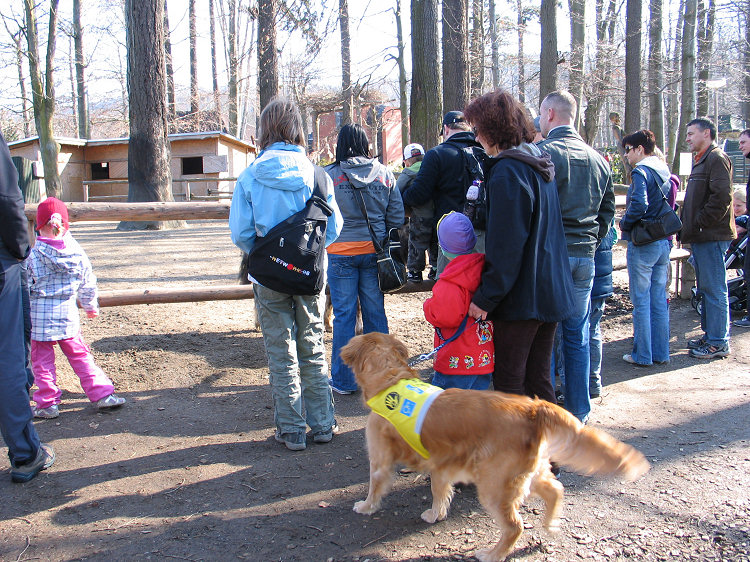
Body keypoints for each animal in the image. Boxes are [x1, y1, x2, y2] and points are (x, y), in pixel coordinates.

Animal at [340, 332, 652, 560]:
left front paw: (366, 506)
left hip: (494, 484)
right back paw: (551, 525)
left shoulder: (380, 460)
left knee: (515, 526)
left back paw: (492, 554)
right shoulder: (441, 464)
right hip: (529, 473)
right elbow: (439, 492)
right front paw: (435, 514)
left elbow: (375, 486)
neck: (389, 379)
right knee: (555, 489)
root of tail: (534, 408)